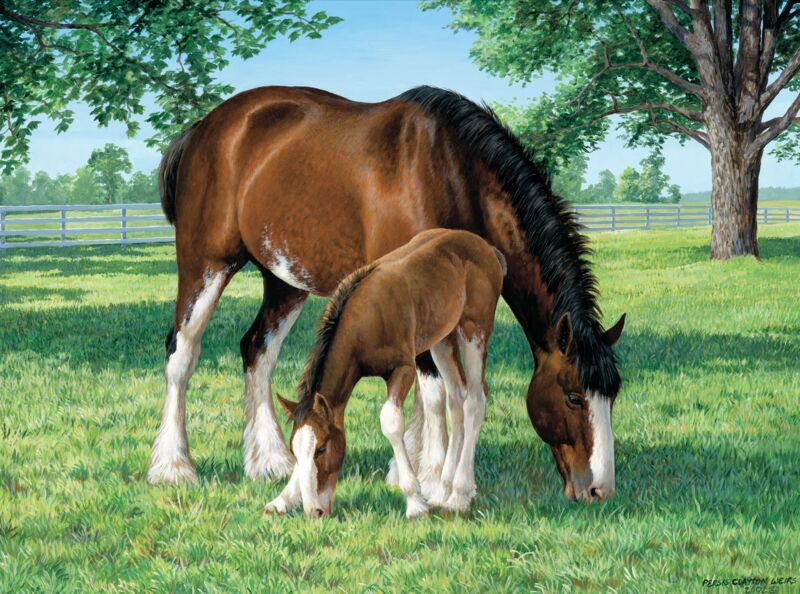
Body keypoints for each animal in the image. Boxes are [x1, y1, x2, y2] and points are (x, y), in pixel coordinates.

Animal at [265, 229, 506, 518]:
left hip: (473, 332)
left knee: (475, 401)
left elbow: (390, 422)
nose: (315, 512)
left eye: (321, 448)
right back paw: (442, 490)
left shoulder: (403, 370)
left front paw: (414, 502)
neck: (364, 320)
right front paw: (282, 499)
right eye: (294, 451)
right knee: (456, 399)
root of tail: (488, 248)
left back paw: (458, 496)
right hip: (443, 340)